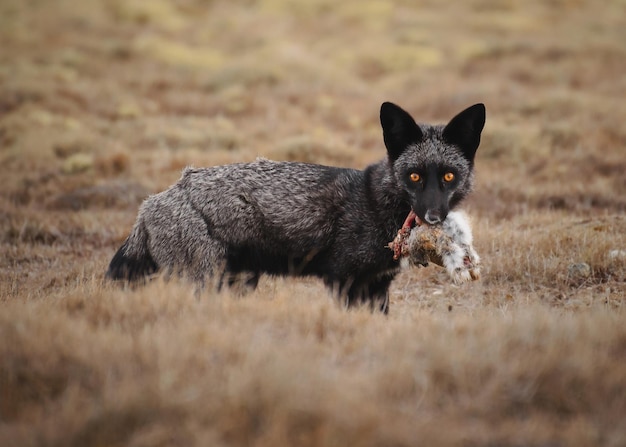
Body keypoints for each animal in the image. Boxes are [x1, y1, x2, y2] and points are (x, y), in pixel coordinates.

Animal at [106, 102, 482, 314]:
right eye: (414, 176)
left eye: (448, 176)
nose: (434, 216)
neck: (375, 201)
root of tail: (150, 203)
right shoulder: (344, 279)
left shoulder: (376, 285)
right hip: (207, 280)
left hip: (238, 281)